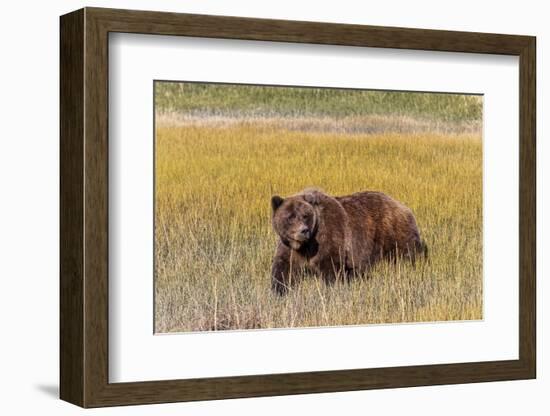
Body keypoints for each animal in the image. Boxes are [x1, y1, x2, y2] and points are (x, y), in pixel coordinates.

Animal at [272, 190, 432, 294]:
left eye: (305, 215)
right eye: (290, 216)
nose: (303, 231)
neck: (305, 245)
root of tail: (403, 206)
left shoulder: (329, 235)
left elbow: (330, 266)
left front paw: (332, 288)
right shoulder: (290, 247)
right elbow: (284, 268)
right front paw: (279, 290)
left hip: (393, 232)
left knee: (408, 254)